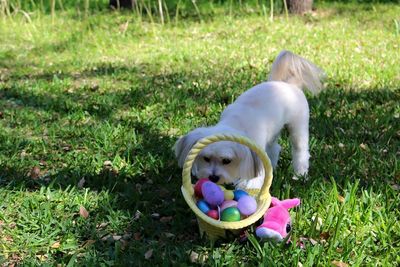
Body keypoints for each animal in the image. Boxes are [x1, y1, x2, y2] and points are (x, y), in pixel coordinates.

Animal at [175, 51, 324, 189]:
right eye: (206, 158)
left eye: (226, 161)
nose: (213, 177)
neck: (235, 122)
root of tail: (289, 84)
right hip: (273, 130)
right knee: (275, 148)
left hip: (298, 125)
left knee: (300, 151)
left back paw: (300, 174)